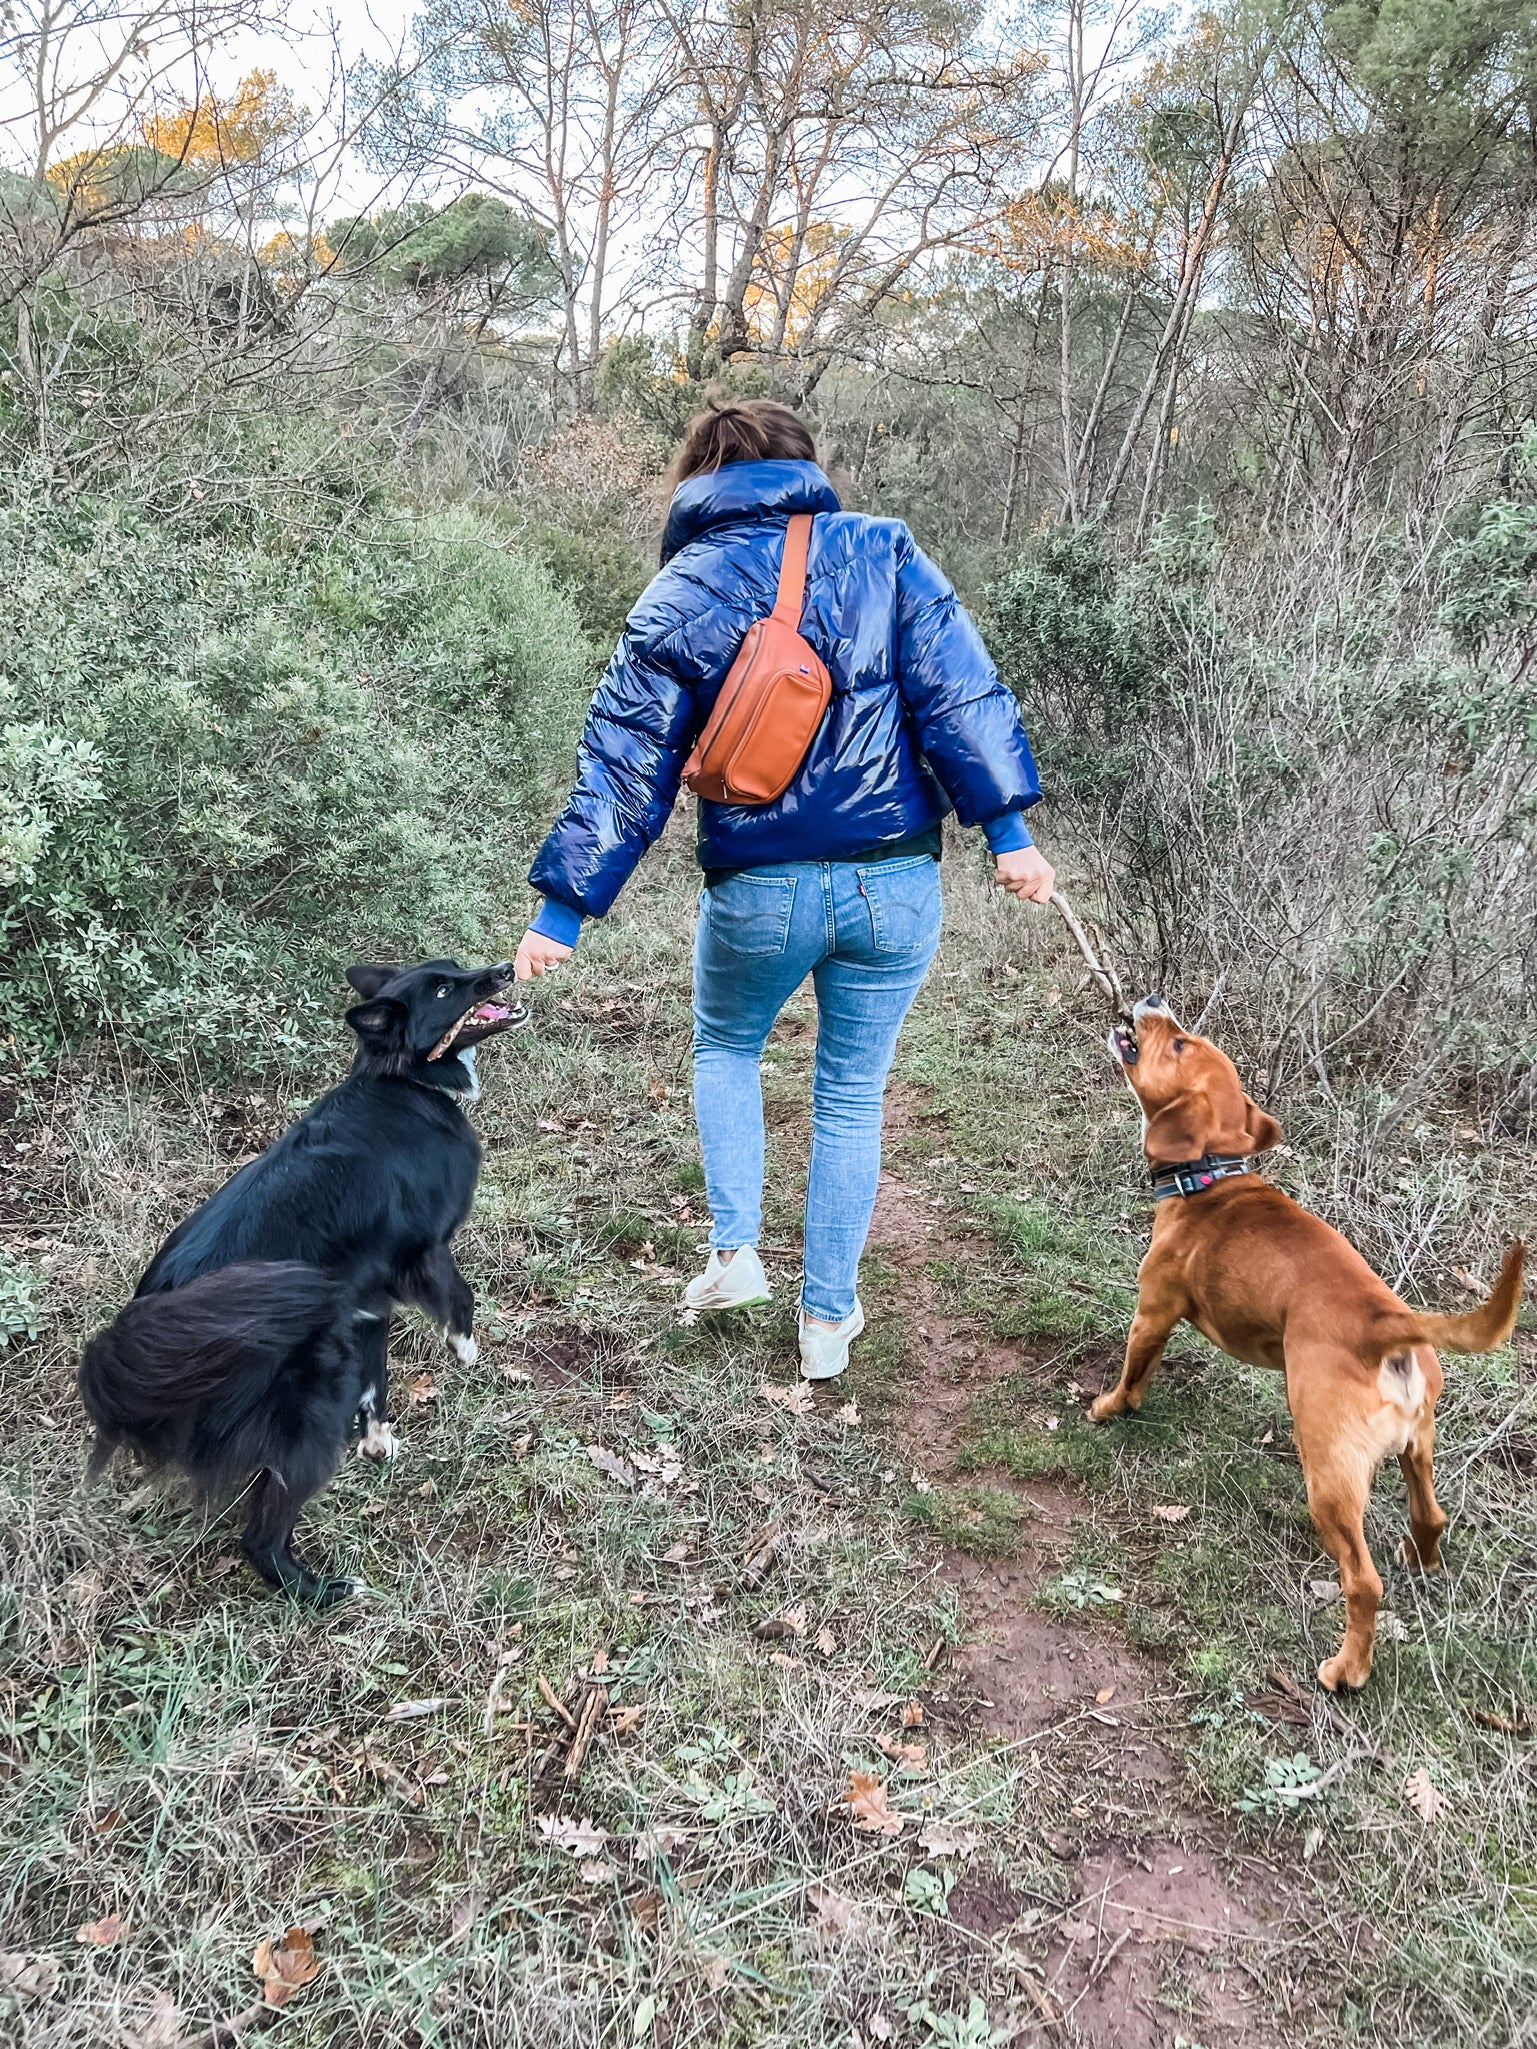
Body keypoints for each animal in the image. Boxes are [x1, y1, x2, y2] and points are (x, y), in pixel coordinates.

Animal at [79, 954, 528, 1598]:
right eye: (445, 989)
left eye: (454, 968)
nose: (504, 969)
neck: (403, 1079)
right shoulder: (422, 1250)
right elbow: (459, 1296)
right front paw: (464, 1346)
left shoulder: (366, 1302)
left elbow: (376, 1379)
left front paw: (377, 1440)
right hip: (313, 1402)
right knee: (262, 1538)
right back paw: (323, 1591)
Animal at [1098, 995, 1532, 1696]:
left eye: (1180, 1044)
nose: (1156, 1001)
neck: (1209, 1175)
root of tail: (1389, 1324)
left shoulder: (1152, 1314)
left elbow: (1132, 1375)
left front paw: (1108, 1408)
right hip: (1418, 1447)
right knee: (1431, 1517)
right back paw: (1423, 1562)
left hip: (1329, 1475)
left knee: (1364, 1582)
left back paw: (1346, 1670)